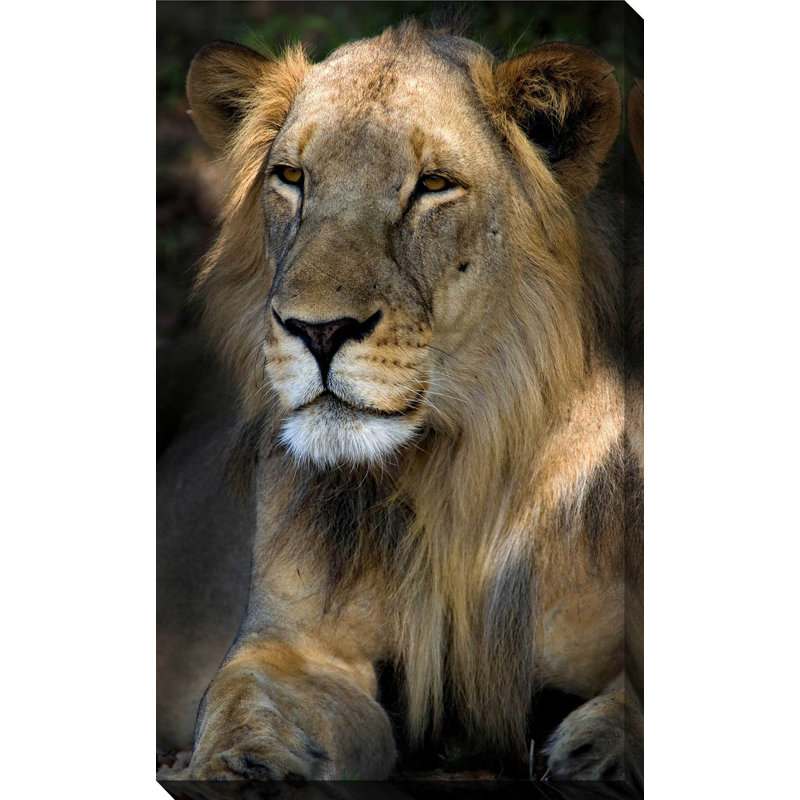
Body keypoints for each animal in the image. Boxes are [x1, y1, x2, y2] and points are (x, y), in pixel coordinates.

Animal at [161, 20, 643, 789]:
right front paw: (241, 766)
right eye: (292, 177)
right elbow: (243, 699)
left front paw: (601, 752)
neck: (455, 468)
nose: (317, 331)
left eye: (433, 187)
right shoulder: (293, 645)